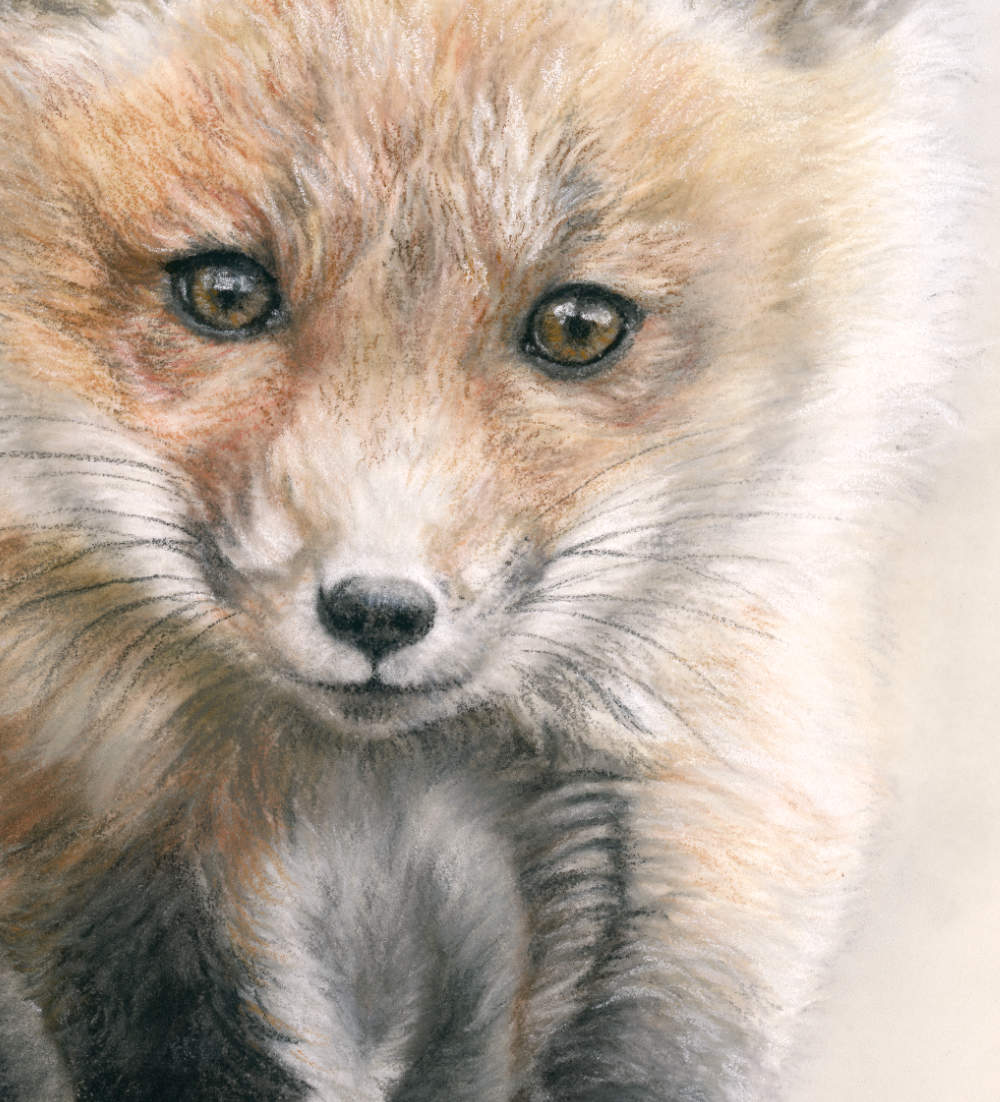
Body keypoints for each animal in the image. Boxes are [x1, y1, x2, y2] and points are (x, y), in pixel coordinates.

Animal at [0, 0, 965, 1098]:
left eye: (579, 325)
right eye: (225, 292)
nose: (377, 610)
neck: (375, 777)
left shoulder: (696, 806)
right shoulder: (109, 809)